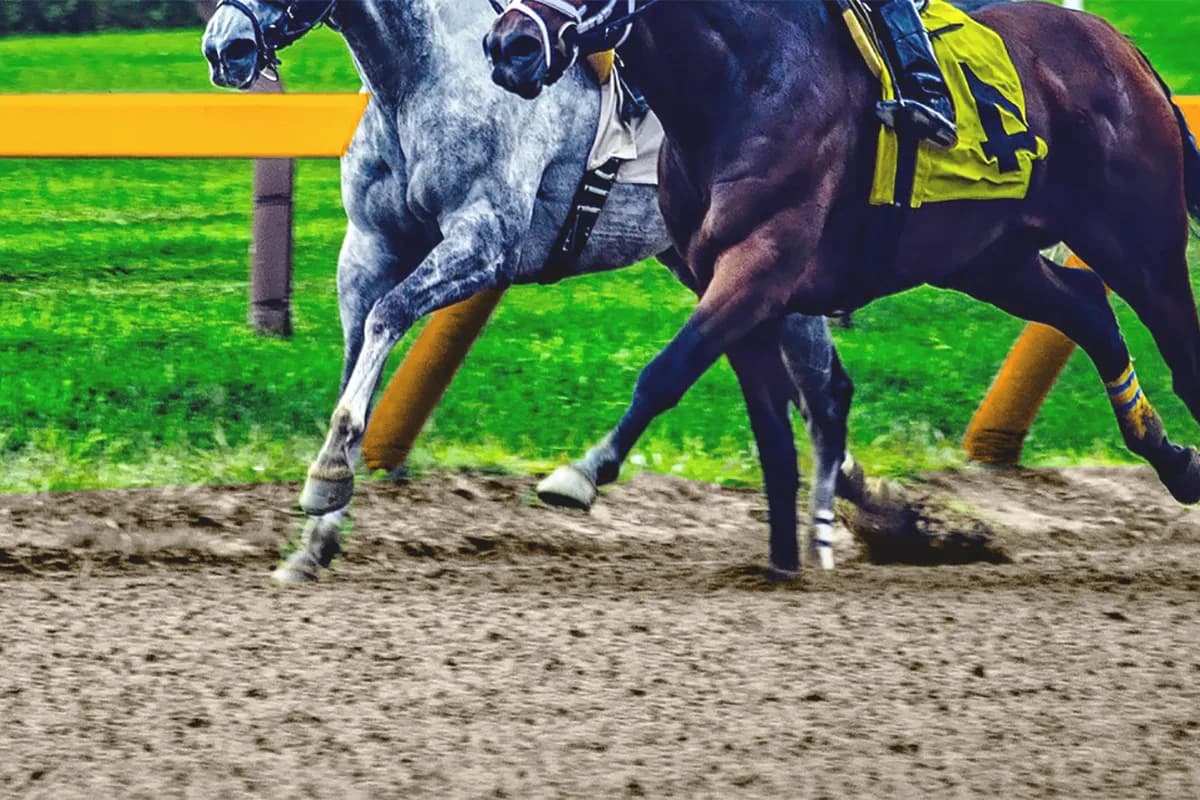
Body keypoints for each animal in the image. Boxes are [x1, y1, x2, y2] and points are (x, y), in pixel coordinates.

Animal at [202, 0, 868, 582]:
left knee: (821, 396)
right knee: (821, 391)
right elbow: (355, 356)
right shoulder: (370, 247)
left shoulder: (484, 243)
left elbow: (387, 317)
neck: (423, 72)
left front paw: (330, 475)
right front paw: (314, 538)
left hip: (764, 258)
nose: (223, 46)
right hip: (717, 266)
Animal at [486, 0, 1200, 575]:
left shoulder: (760, 263)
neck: (736, 78)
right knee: (1088, 307)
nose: (507, 46)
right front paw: (784, 563)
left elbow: (665, 372)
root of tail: (1122, 46)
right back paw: (1173, 459)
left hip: (1140, 247)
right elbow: (772, 433)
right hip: (987, 258)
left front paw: (581, 474)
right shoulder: (732, 284)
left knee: (1180, 353)